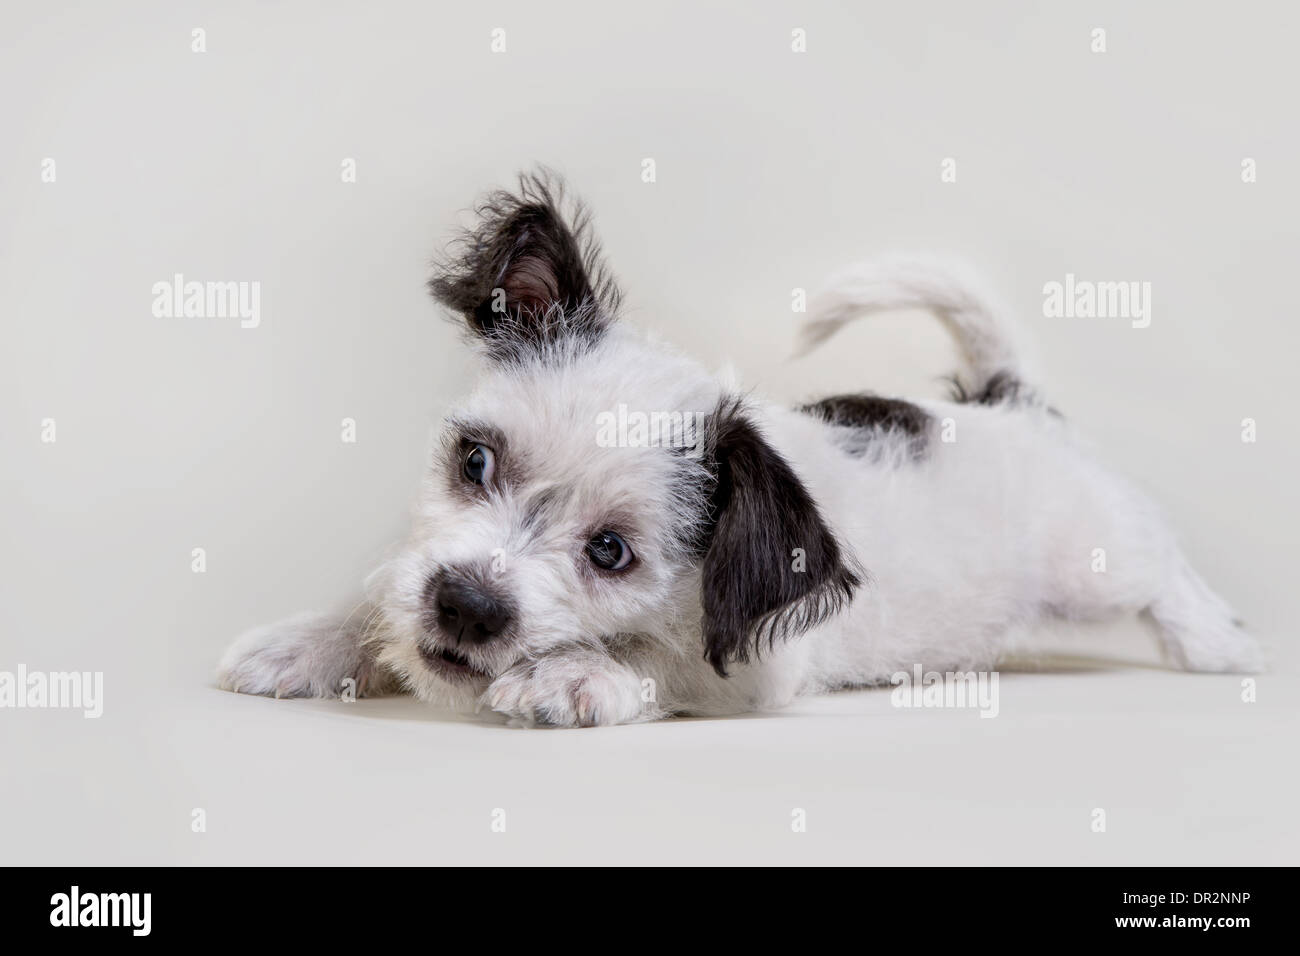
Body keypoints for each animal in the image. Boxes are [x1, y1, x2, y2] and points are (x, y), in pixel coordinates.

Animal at [218, 170, 1263, 723]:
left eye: (610, 552)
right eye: (474, 462)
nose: (467, 606)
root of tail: (1010, 403)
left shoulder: (754, 678)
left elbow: (661, 659)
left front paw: (577, 671)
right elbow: (378, 599)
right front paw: (309, 642)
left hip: (1096, 560)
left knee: (1163, 568)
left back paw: (1221, 642)